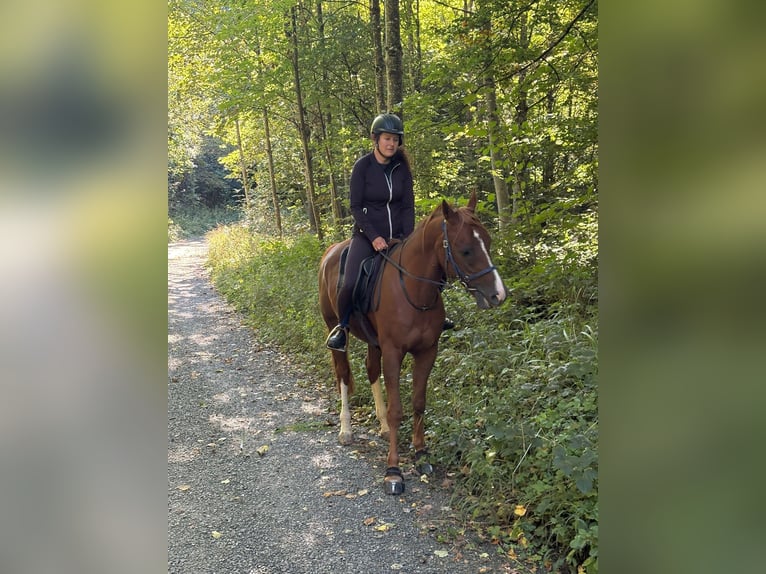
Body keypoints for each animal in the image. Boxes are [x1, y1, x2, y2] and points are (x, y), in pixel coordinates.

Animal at [317, 191, 507, 494]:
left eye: (487, 243)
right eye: (466, 250)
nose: (498, 294)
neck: (414, 290)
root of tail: (331, 251)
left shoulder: (427, 351)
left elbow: (418, 402)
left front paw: (421, 455)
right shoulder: (394, 352)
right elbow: (397, 410)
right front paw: (393, 471)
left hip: (374, 341)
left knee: (371, 369)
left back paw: (382, 427)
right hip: (334, 327)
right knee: (343, 374)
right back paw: (346, 430)